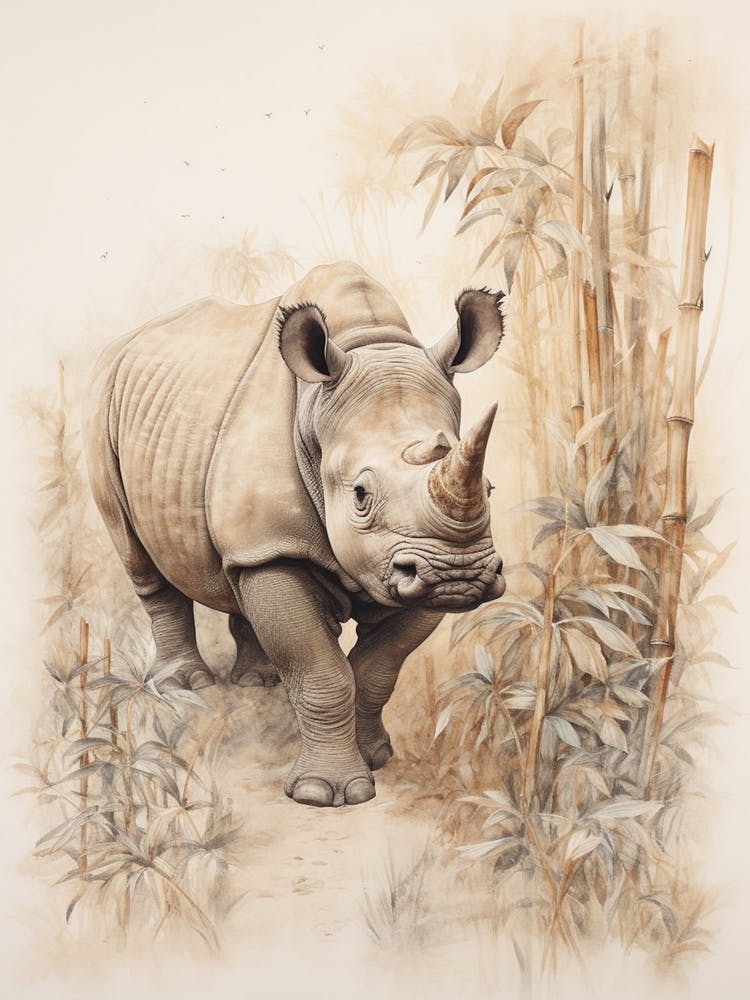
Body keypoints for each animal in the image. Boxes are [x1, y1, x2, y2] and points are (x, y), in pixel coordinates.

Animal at [84, 261, 506, 807]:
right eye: (360, 495)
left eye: (490, 488)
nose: (460, 575)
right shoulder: (282, 548)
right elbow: (322, 671)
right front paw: (322, 794)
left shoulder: (412, 564)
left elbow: (376, 670)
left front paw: (374, 757)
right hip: (101, 409)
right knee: (139, 555)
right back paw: (185, 686)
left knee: (236, 575)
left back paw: (256, 683)